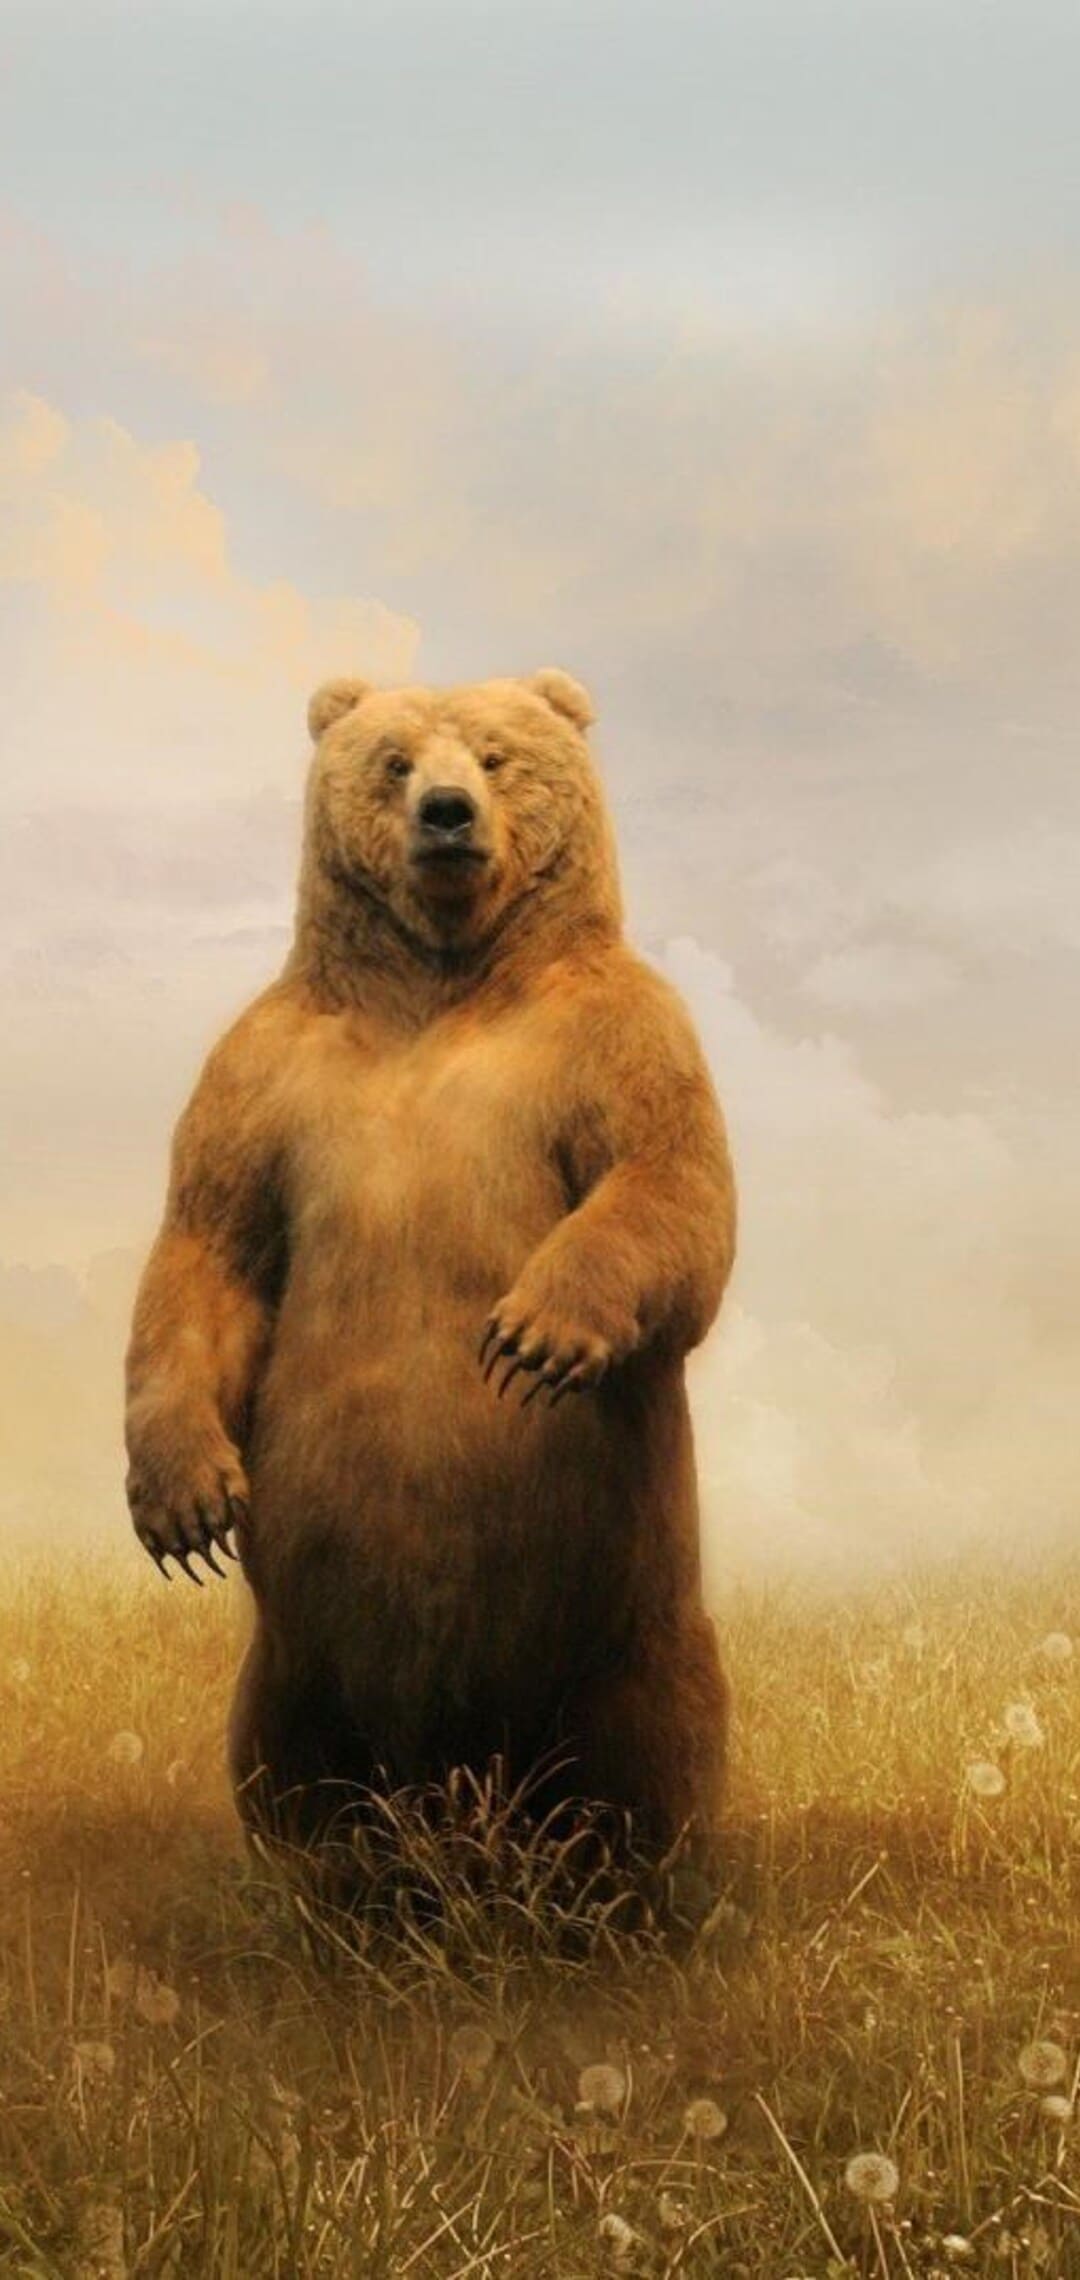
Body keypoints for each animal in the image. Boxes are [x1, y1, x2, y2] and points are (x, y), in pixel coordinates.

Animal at [123, 668, 737, 1856]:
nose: (447, 814)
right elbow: (209, 1248)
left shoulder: (616, 1034)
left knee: (646, 1755)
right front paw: (183, 1504)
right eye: (396, 760)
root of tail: (454, 1782)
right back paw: (331, 1875)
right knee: (290, 1767)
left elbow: (669, 1186)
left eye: (496, 755)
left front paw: (532, 1335)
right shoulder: (265, 1074)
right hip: (297, 1659)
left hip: (625, 1624)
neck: (444, 978)